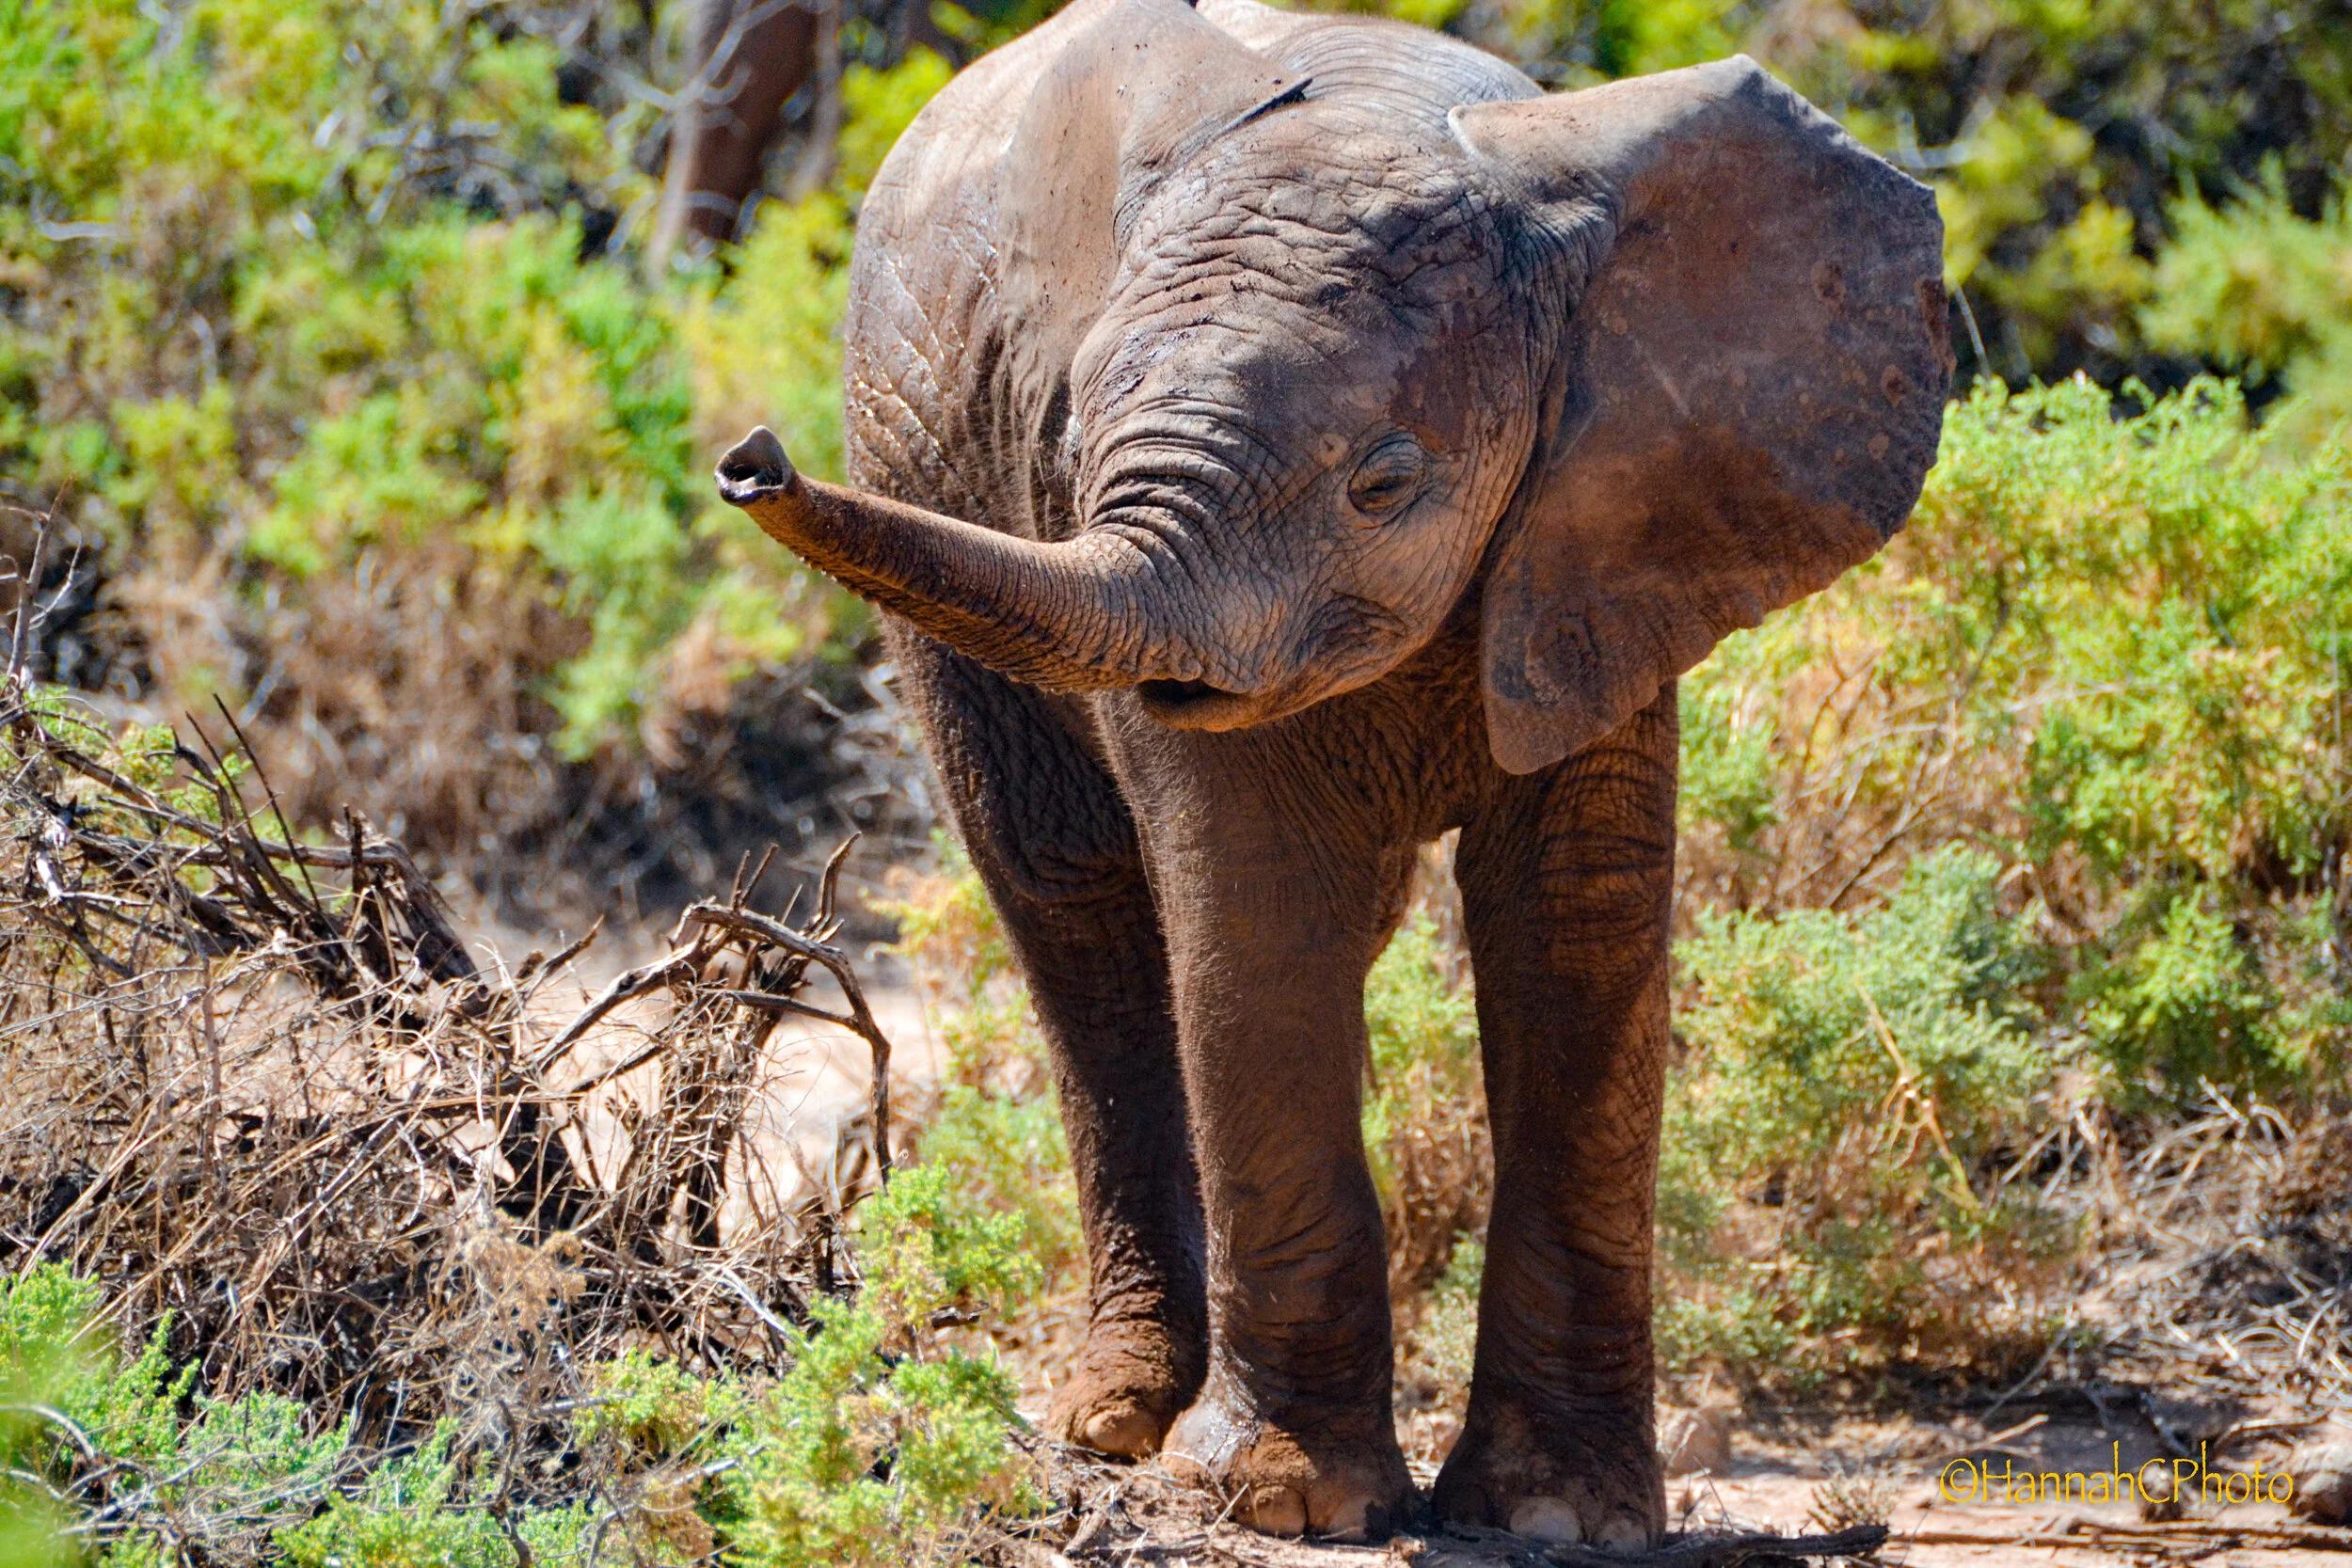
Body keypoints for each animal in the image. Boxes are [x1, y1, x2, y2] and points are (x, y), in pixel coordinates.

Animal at [714, 0, 1950, 1544]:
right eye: (1068, 439)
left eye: (1387, 481)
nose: (749, 460)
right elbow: (1255, 918)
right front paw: (1282, 1499)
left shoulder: (1610, 528)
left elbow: (1576, 925)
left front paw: (1555, 1516)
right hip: (910, 456)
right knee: (1073, 902)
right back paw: (1117, 1416)